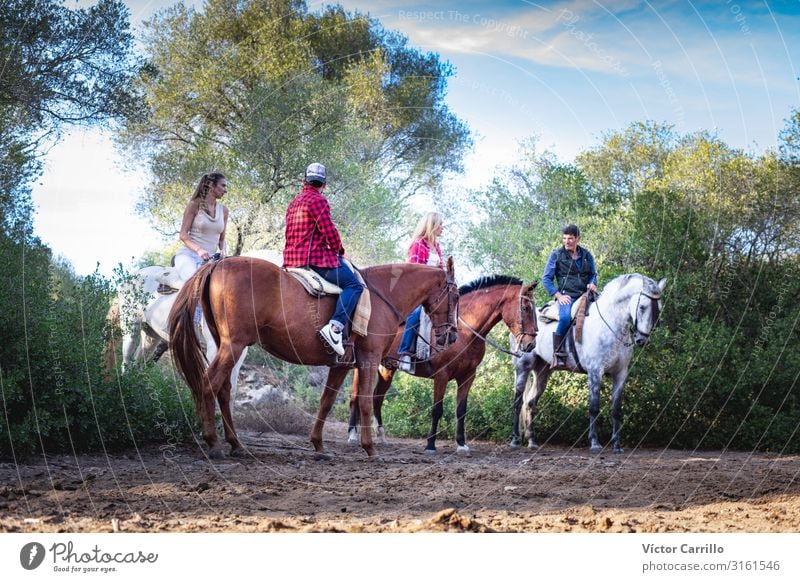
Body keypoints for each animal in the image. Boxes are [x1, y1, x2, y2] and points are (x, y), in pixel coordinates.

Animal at [167, 258, 456, 458]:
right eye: (454, 296)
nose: (451, 336)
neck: (382, 295)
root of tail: (218, 263)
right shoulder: (369, 360)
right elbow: (364, 401)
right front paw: (370, 448)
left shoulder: (342, 365)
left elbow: (326, 401)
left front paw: (318, 445)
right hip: (233, 346)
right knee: (209, 384)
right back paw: (213, 442)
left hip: (226, 346)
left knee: (224, 389)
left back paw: (235, 443)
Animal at [346, 278, 536, 456]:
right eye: (526, 308)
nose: (530, 344)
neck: (464, 333)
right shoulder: (441, 375)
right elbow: (437, 409)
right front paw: (430, 445)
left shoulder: (468, 376)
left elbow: (461, 410)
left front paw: (461, 444)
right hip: (361, 368)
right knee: (356, 396)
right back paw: (353, 435)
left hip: (386, 370)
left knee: (377, 398)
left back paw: (381, 436)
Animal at [510, 274, 664, 456]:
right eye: (642, 307)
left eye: (659, 308)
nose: (642, 340)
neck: (611, 325)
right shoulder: (595, 372)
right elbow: (594, 407)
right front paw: (595, 443)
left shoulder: (620, 374)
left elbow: (616, 409)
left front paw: (617, 445)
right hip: (522, 367)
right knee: (518, 402)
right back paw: (515, 440)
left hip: (542, 372)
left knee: (530, 403)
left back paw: (532, 441)